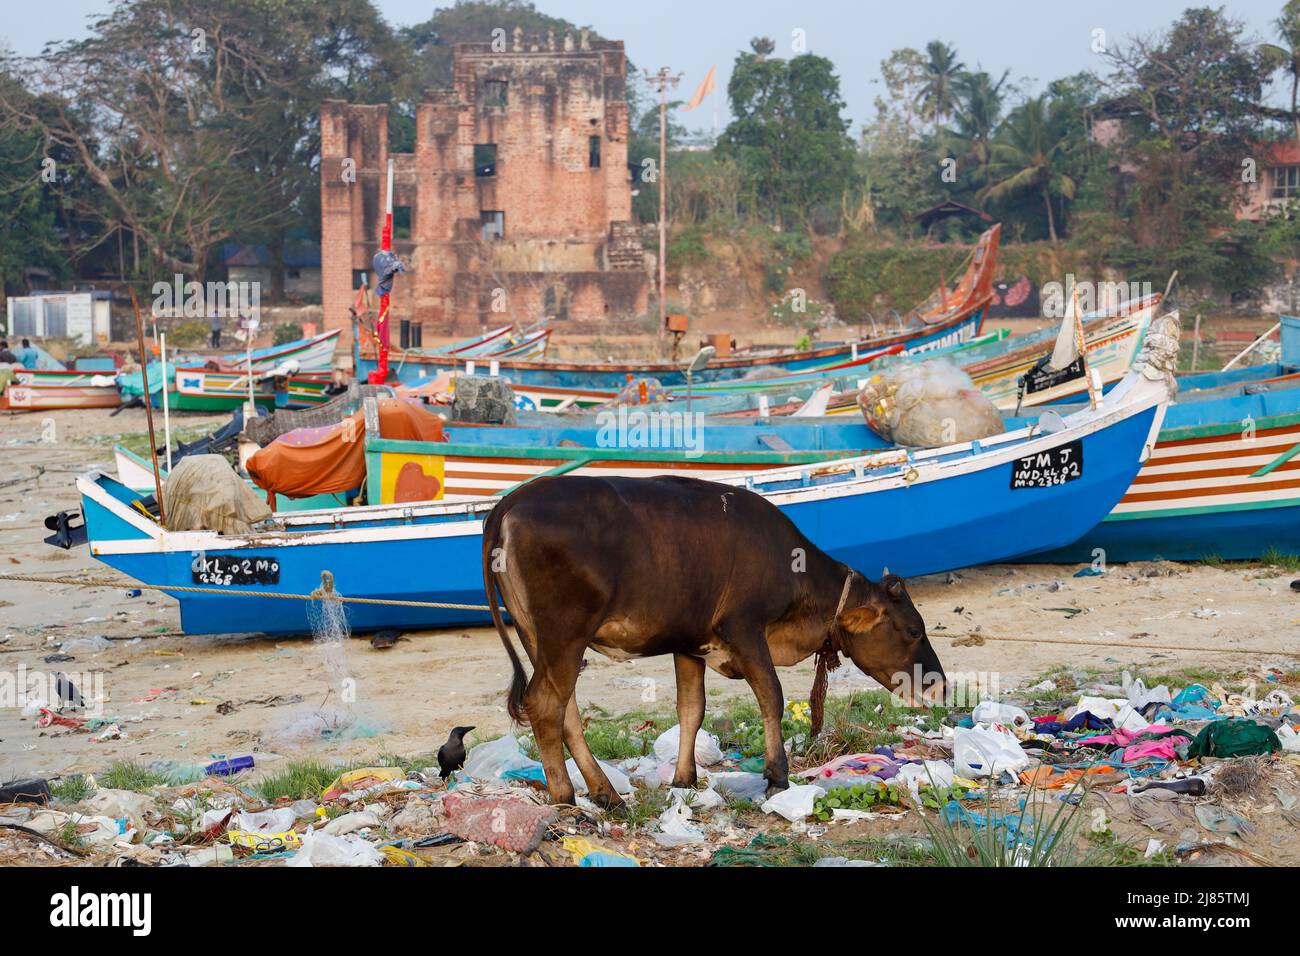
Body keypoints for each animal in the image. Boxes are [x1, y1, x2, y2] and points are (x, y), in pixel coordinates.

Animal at [482, 474, 946, 808]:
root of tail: (514, 499)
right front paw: (777, 776)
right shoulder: (744, 628)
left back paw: (605, 793)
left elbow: (692, 708)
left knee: (566, 711)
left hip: (537, 637)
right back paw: (564, 796)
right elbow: (771, 696)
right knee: (545, 704)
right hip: (564, 632)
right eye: (914, 630)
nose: (938, 683)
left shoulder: (690, 643)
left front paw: (684, 778)